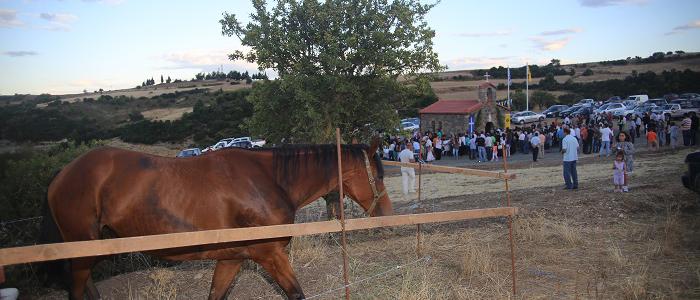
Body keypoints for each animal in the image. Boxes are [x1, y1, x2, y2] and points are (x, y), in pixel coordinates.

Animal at [43, 142, 394, 298]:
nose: (387, 214)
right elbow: (296, 293)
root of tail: (60, 176)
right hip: (82, 252)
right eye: (377, 174)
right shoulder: (270, 255)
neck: (267, 179)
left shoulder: (232, 259)